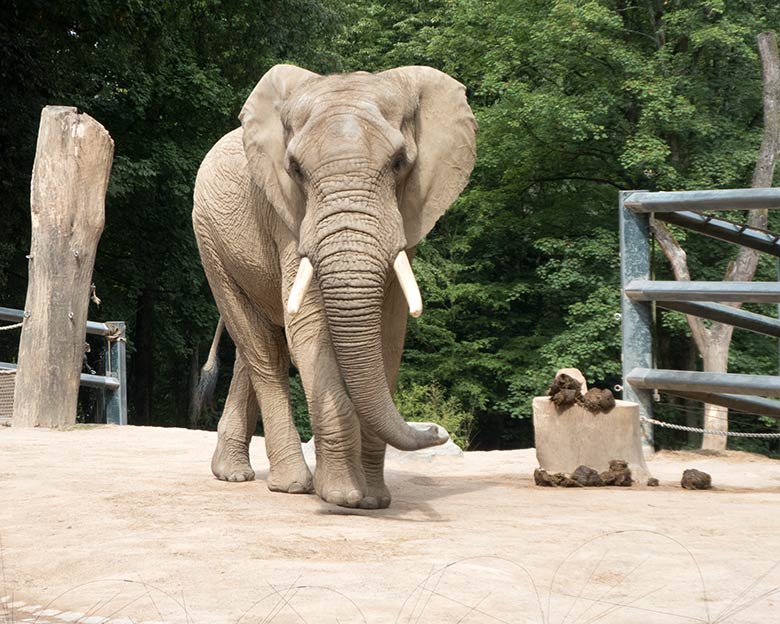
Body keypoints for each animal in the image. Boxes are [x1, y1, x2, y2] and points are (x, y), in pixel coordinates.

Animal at [192, 64, 478, 508]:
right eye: (295, 169)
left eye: (399, 162)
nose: (437, 430)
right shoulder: (289, 214)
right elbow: (310, 327)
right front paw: (344, 498)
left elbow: (390, 331)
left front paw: (374, 500)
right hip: (209, 239)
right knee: (261, 349)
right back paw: (290, 484)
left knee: (256, 346)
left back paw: (233, 474)